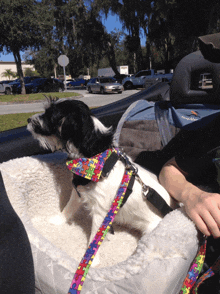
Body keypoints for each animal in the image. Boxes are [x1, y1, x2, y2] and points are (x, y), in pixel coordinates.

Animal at [27, 97, 174, 266]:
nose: (28, 120)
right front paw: (57, 220)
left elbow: (94, 237)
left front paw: (92, 260)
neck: (94, 161)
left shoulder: (101, 211)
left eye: (50, 115)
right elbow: (68, 207)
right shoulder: (78, 192)